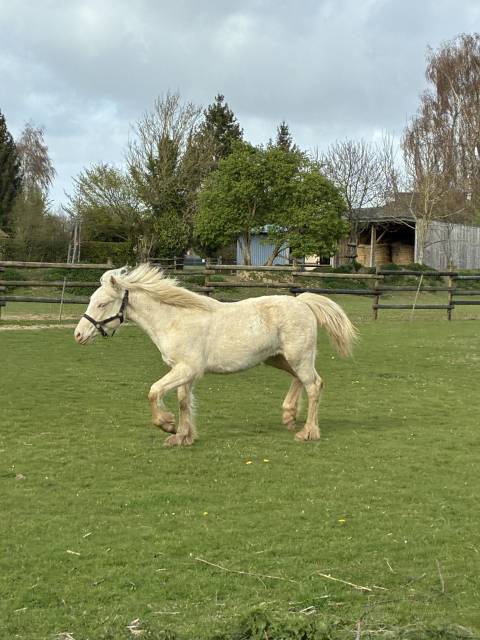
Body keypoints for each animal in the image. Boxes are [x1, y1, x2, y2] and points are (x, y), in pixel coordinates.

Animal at [74, 264, 357, 446]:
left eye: (101, 304)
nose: (78, 335)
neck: (175, 319)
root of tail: (302, 302)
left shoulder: (187, 369)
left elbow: (154, 392)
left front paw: (167, 424)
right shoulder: (182, 371)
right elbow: (183, 401)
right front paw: (182, 437)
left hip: (298, 356)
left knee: (314, 385)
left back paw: (308, 432)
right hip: (279, 358)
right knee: (302, 380)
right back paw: (289, 416)